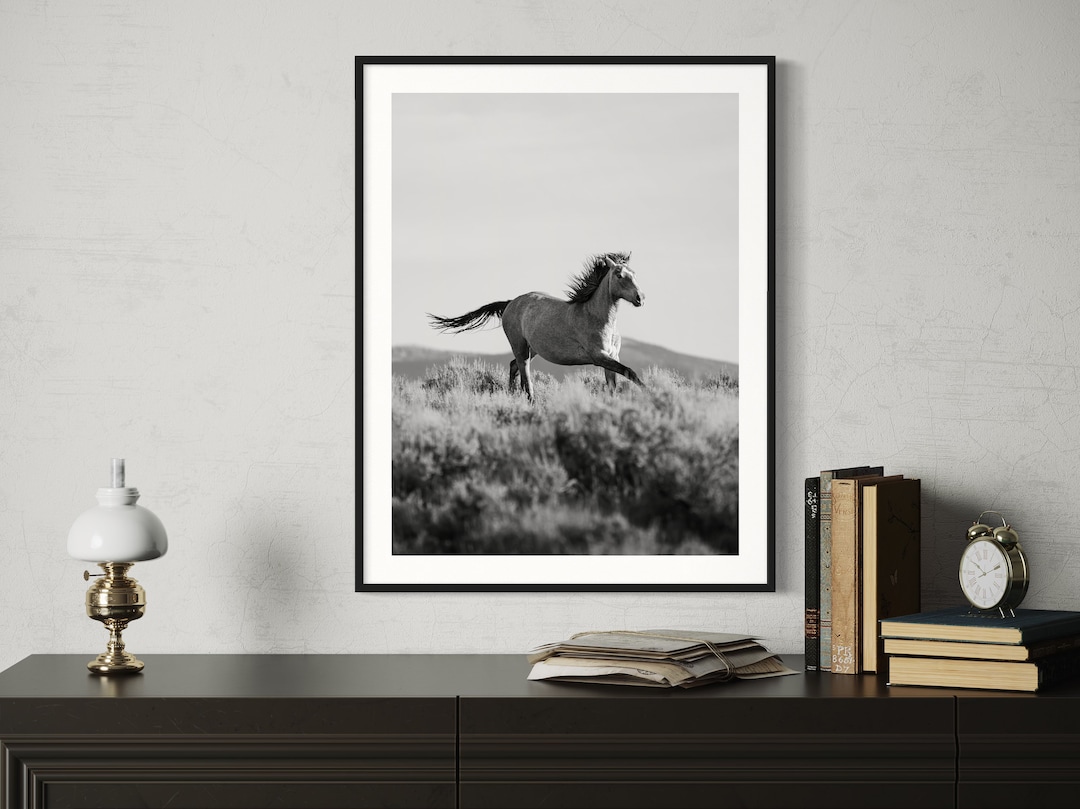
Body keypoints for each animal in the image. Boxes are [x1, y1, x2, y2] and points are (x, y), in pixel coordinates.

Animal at [428, 252, 646, 399]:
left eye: (634, 273)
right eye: (619, 274)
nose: (640, 298)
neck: (596, 317)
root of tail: (510, 303)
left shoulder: (612, 356)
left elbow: (615, 385)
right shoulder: (599, 357)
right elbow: (630, 372)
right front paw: (650, 393)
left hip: (532, 349)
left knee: (514, 366)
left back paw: (511, 395)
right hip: (520, 346)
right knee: (525, 377)